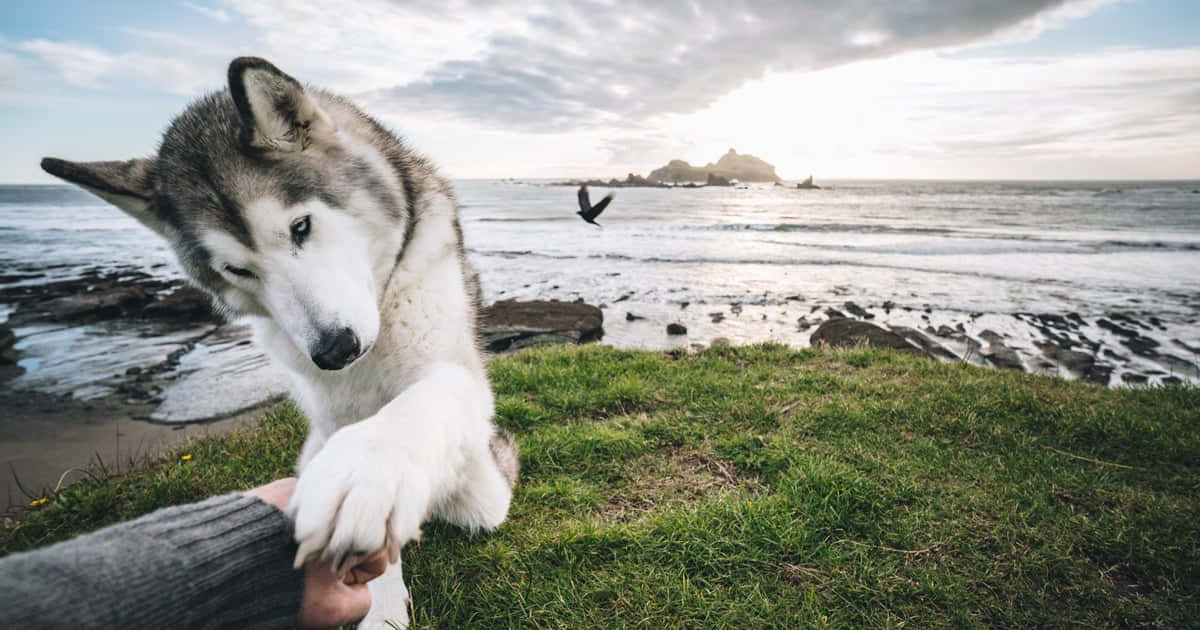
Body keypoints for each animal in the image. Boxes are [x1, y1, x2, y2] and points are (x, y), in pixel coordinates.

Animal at [41, 56, 520, 624]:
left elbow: (426, 402)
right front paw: (380, 607)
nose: (333, 350)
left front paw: (370, 468)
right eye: (237, 270)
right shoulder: (331, 414)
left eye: (301, 227)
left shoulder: (452, 373)